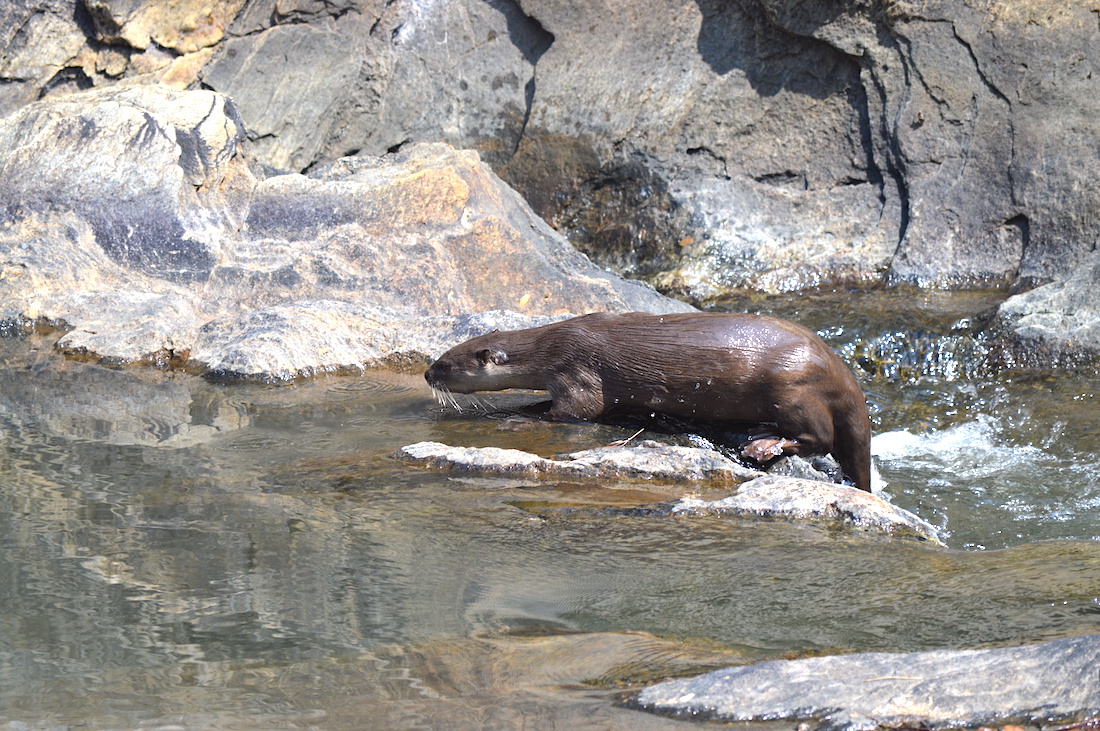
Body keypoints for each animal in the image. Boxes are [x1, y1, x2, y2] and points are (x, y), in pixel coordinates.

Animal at [424, 312, 871, 490]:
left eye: (444, 363)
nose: (427, 374)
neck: (550, 347)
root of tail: (841, 370)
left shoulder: (576, 373)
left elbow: (575, 411)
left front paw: (519, 421)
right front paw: (519, 408)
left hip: (792, 389)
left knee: (820, 439)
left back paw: (762, 442)